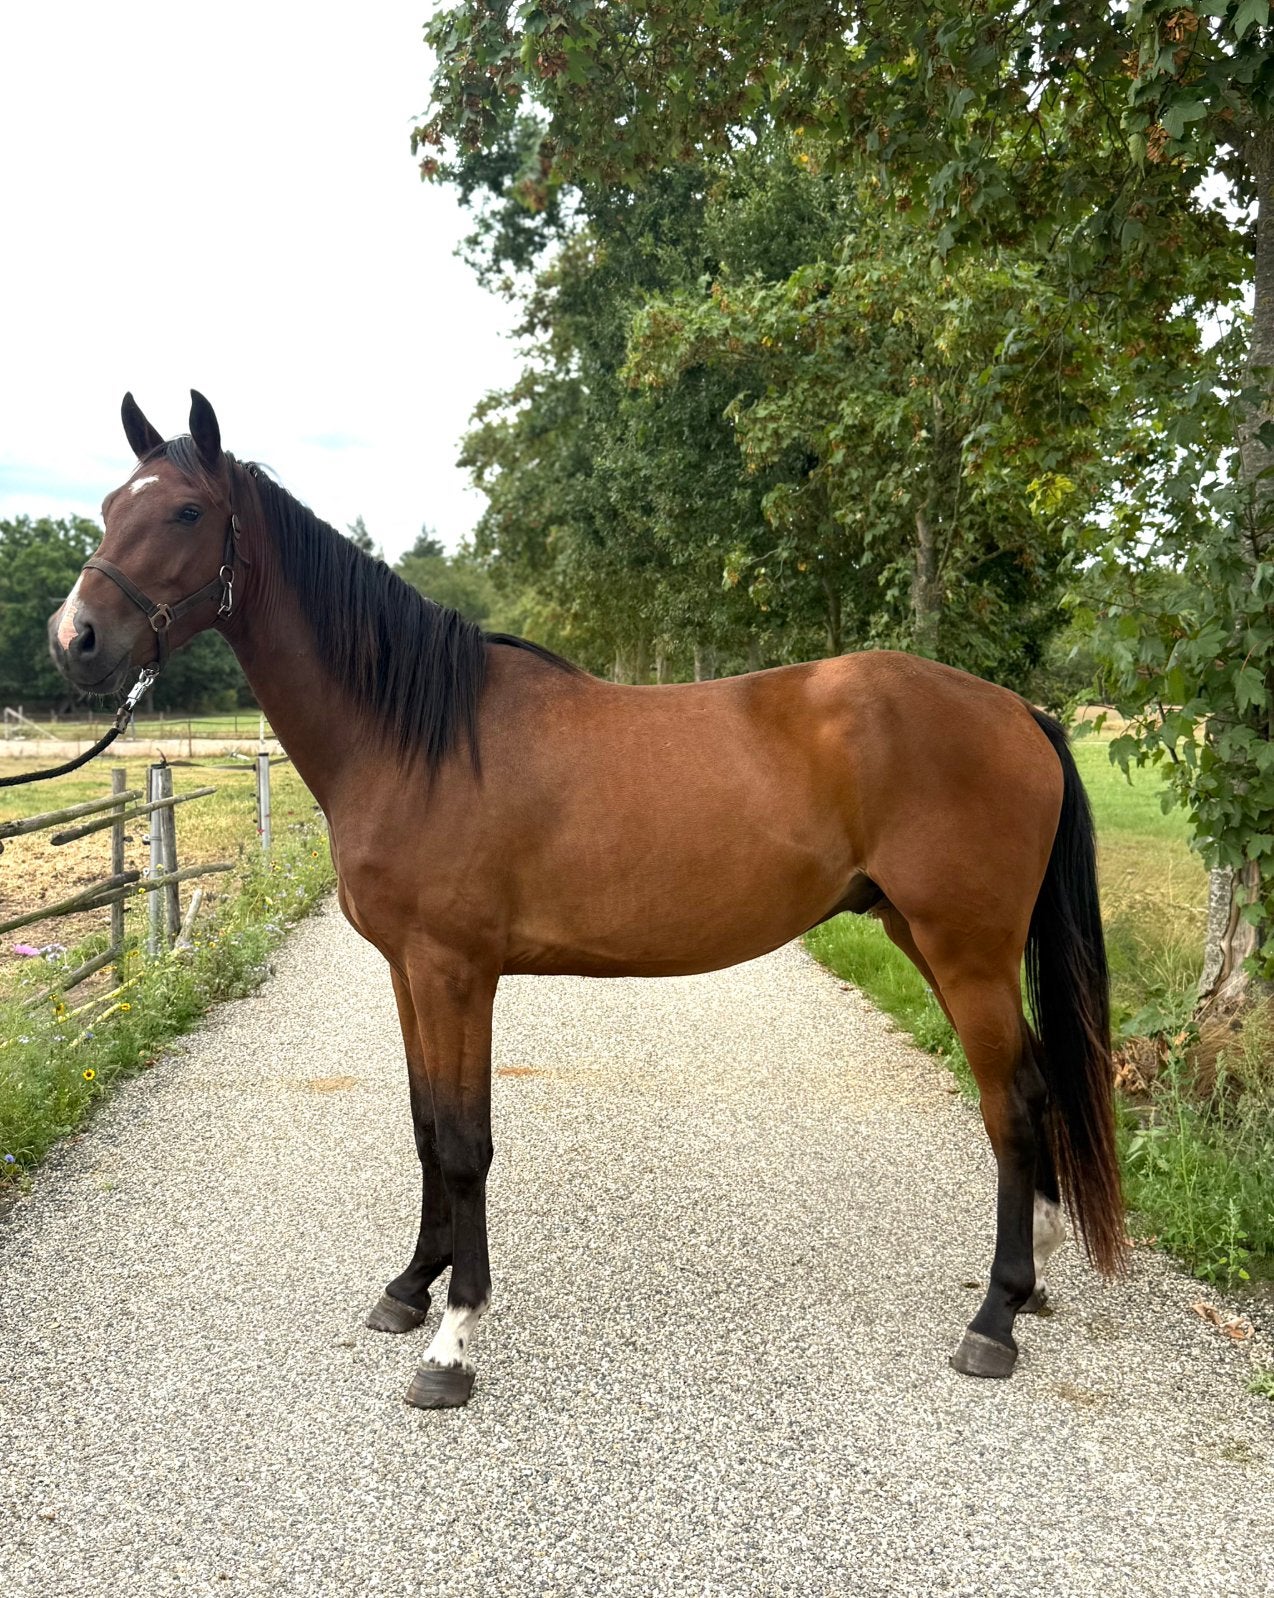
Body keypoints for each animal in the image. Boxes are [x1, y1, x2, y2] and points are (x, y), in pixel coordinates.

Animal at [47, 391, 1123, 1408]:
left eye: (187, 510)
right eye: (105, 505)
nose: (75, 639)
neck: (413, 737)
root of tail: (1017, 710)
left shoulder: (456, 972)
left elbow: (465, 1143)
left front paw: (453, 1339)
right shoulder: (406, 971)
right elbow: (423, 1127)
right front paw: (409, 1287)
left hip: (965, 948)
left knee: (1011, 1101)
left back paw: (993, 1318)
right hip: (921, 936)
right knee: (1025, 1089)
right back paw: (1026, 1284)